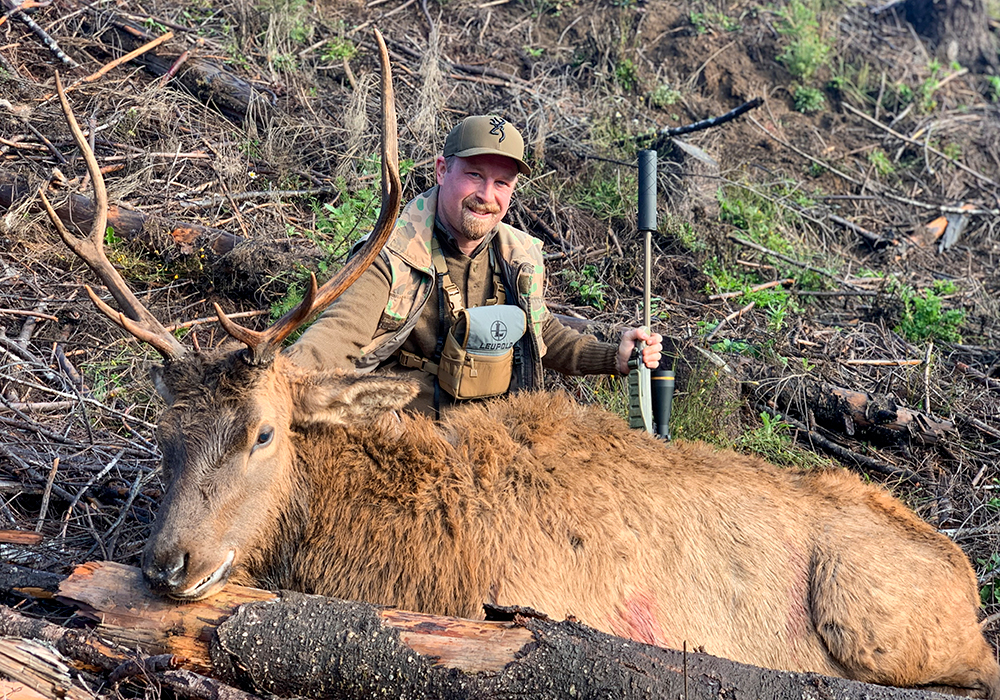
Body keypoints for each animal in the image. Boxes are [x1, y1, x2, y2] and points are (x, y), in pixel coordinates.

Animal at [41, 30, 1000, 700]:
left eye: (266, 432)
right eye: (164, 436)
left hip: (875, 608)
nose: (170, 564)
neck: (402, 551)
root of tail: (964, 569)